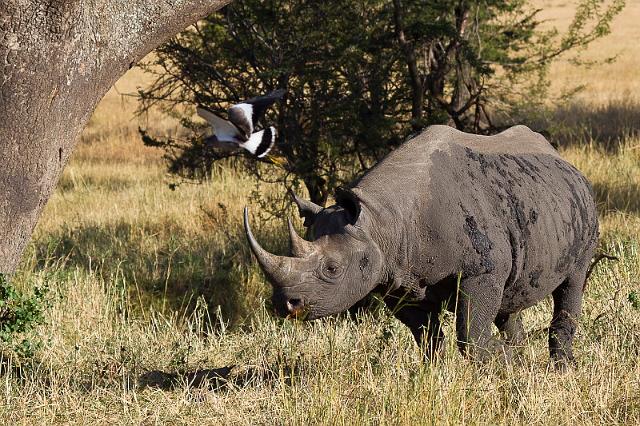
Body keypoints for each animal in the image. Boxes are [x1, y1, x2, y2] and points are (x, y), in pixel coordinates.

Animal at [244, 124, 600, 366]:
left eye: (332, 269)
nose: (285, 304)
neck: (381, 221)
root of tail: (563, 160)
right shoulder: (398, 280)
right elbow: (427, 338)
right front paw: (438, 374)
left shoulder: (481, 271)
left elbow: (470, 334)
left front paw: (492, 368)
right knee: (511, 297)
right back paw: (519, 362)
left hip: (583, 210)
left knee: (573, 282)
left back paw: (560, 370)